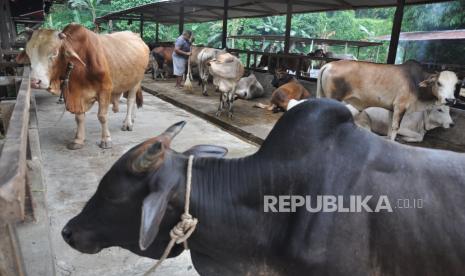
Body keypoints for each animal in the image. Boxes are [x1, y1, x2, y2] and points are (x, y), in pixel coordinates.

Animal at [318, 60, 458, 142]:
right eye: (439, 83)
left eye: (456, 85)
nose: (450, 100)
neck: (415, 82)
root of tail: (329, 64)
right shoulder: (401, 106)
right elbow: (395, 128)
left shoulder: (392, 109)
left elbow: (390, 128)